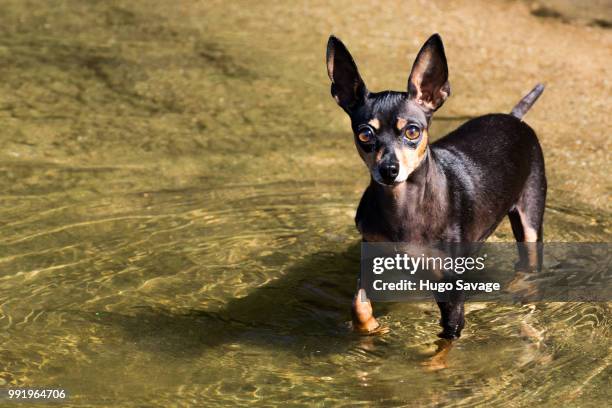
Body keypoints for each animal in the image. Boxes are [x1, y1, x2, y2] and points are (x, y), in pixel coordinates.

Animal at [328, 34, 548, 338]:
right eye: (365, 134)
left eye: (412, 131)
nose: (389, 170)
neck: (403, 205)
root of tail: (515, 117)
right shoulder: (373, 260)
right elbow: (358, 305)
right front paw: (373, 328)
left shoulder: (451, 291)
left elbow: (447, 336)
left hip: (530, 224)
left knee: (529, 268)